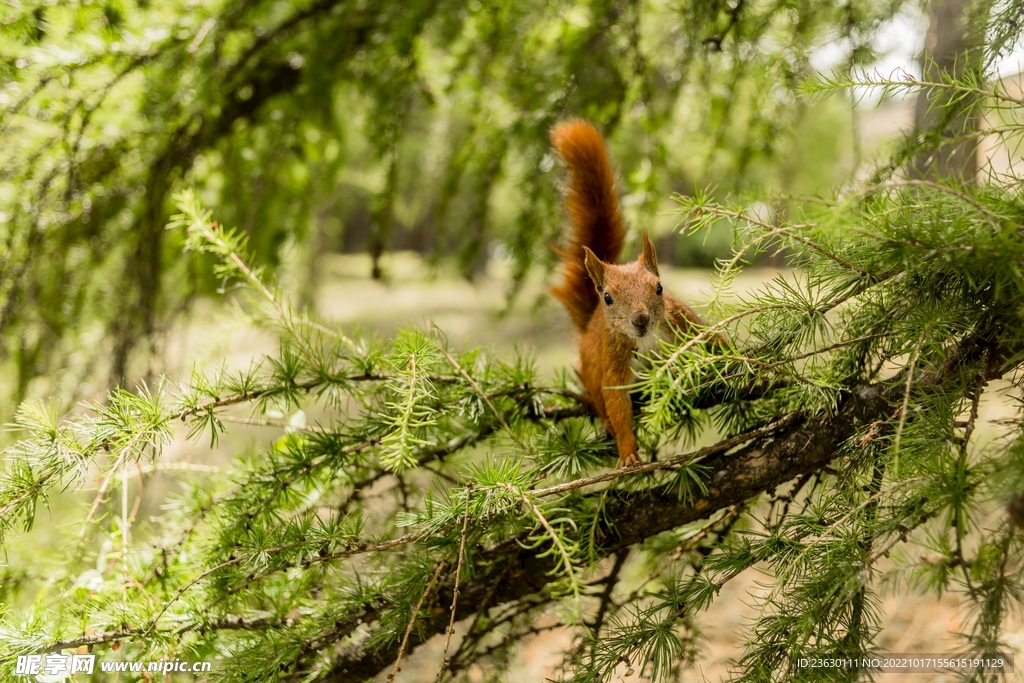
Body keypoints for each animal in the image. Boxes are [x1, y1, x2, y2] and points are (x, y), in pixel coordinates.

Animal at [552, 118, 712, 471]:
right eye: (608, 298)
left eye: (659, 287)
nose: (640, 320)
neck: (646, 338)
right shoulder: (613, 357)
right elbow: (616, 399)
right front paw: (628, 452)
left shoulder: (682, 320)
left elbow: (714, 340)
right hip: (590, 367)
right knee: (601, 403)